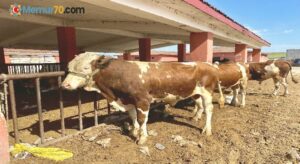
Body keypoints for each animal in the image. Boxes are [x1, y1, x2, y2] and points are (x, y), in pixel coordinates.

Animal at [61, 52, 220, 145]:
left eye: (85, 68)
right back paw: (195, 118)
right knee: (200, 106)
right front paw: (134, 131)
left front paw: (142, 137)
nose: (64, 84)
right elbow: (132, 117)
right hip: (196, 93)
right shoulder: (128, 100)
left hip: (207, 92)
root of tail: (208, 63)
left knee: (209, 109)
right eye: (69, 66)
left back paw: (207, 129)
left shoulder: (142, 100)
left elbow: (142, 119)